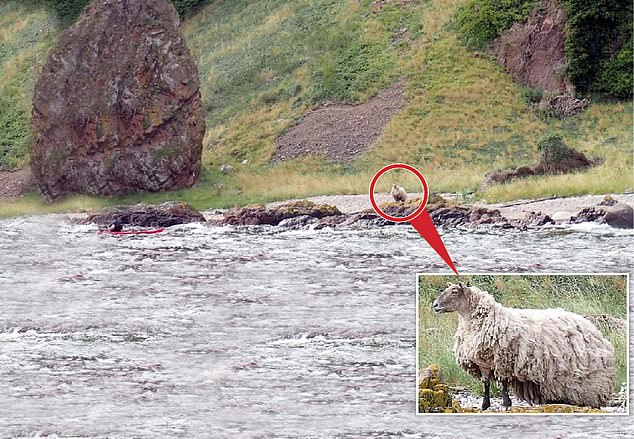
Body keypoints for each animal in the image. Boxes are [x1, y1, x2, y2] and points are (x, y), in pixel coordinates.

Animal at [430, 284, 612, 410]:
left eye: (454, 291)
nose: (435, 305)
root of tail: (595, 330)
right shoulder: (483, 362)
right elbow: (486, 383)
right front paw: (485, 404)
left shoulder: (502, 360)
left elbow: (503, 383)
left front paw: (506, 403)